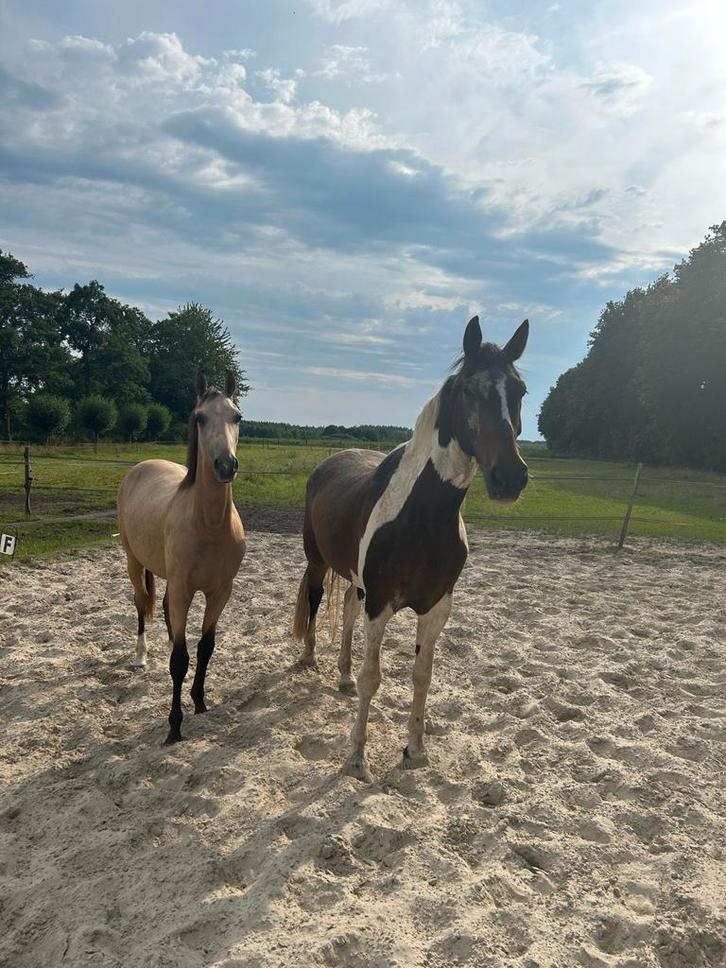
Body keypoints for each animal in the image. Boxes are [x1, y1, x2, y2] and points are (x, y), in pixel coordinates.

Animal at [117, 371, 246, 744]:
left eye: (237, 417)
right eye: (200, 418)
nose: (225, 465)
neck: (209, 525)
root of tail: (141, 467)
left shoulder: (219, 593)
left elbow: (204, 648)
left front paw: (200, 702)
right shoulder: (183, 589)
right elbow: (179, 660)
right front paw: (174, 726)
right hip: (134, 563)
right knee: (141, 603)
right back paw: (141, 657)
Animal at [293, 315, 529, 781]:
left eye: (521, 391)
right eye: (468, 389)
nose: (510, 477)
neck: (421, 519)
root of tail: (329, 462)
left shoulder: (436, 607)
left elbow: (422, 675)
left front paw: (415, 750)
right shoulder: (380, 603)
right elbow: (373, 677)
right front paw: (357, 758)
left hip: (356, 581)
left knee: (346, 608)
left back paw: (341, 676)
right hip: (318, 561)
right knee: (314, 598)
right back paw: (310, 658)